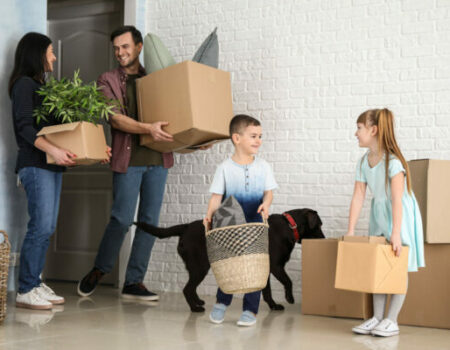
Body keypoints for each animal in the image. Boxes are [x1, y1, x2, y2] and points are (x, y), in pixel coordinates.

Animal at [134, 208, 324, 312]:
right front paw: (289, 298)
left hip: (197, 267)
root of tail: (186, 227)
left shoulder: (266, 268)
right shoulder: (276, 266)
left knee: (191, 288)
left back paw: (198, 302)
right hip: (200, 266)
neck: (290, 225)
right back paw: (195, 308)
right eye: (320, 225)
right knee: (187, 289)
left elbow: (267, 291)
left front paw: (273, 306)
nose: (324, 238)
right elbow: (288, 281)